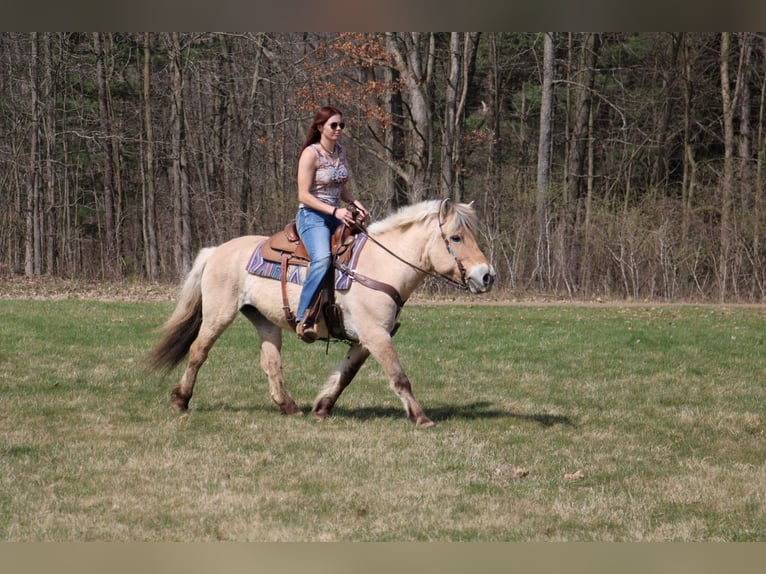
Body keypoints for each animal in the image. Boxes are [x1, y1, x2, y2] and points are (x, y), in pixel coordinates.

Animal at [148, 198, 498, 428]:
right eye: (456, 238)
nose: (486, 276)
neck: (379, 266)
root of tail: (216, 250)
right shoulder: (376, 335)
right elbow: (399, 377)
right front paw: (421, 417)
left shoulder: (364, 339)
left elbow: (345, 375)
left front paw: (322, 406)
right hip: (218, 314)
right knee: (198, 351)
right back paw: (180, 400)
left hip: (263, 319)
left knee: (271, 362)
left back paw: (289, 406)